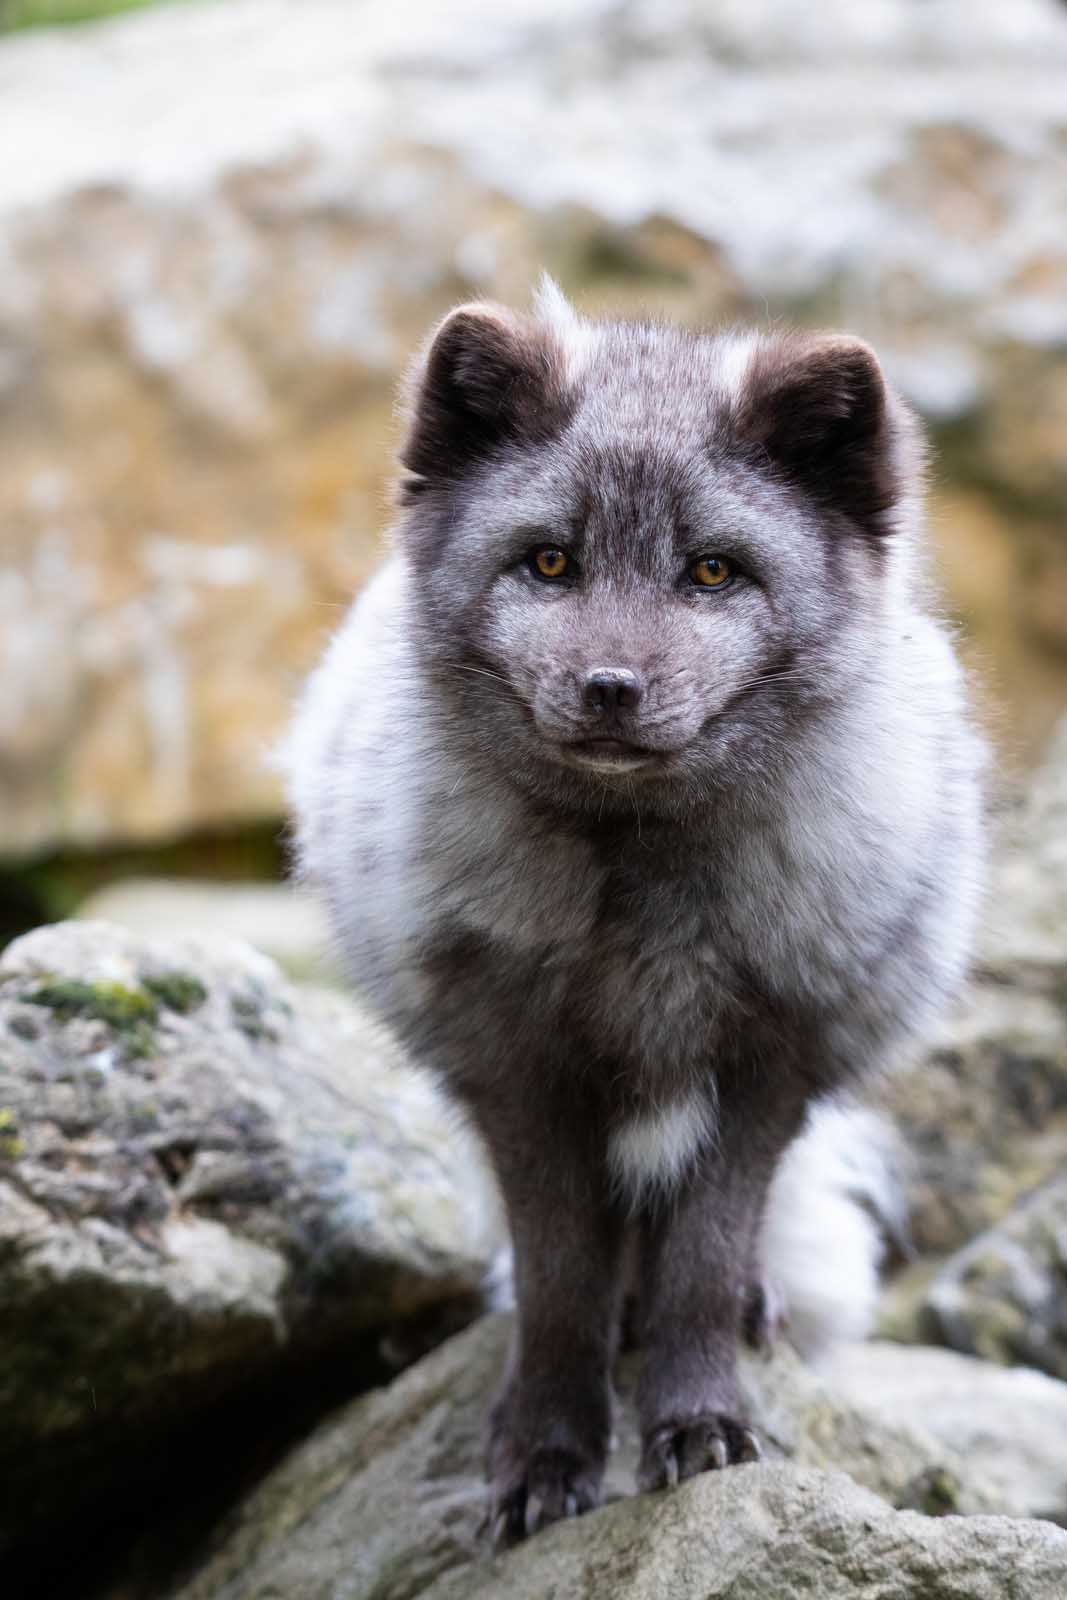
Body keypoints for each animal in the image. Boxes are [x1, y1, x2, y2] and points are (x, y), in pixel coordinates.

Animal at [286, 281, 985, 1542]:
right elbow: (559, 1286)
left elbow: (696, 1270)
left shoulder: (762, 1067)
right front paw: (543, 1457)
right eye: (548, 561)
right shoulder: (518, 1074)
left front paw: (697, 1425)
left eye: (710, 572)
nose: (609, 687)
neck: (640, 898)